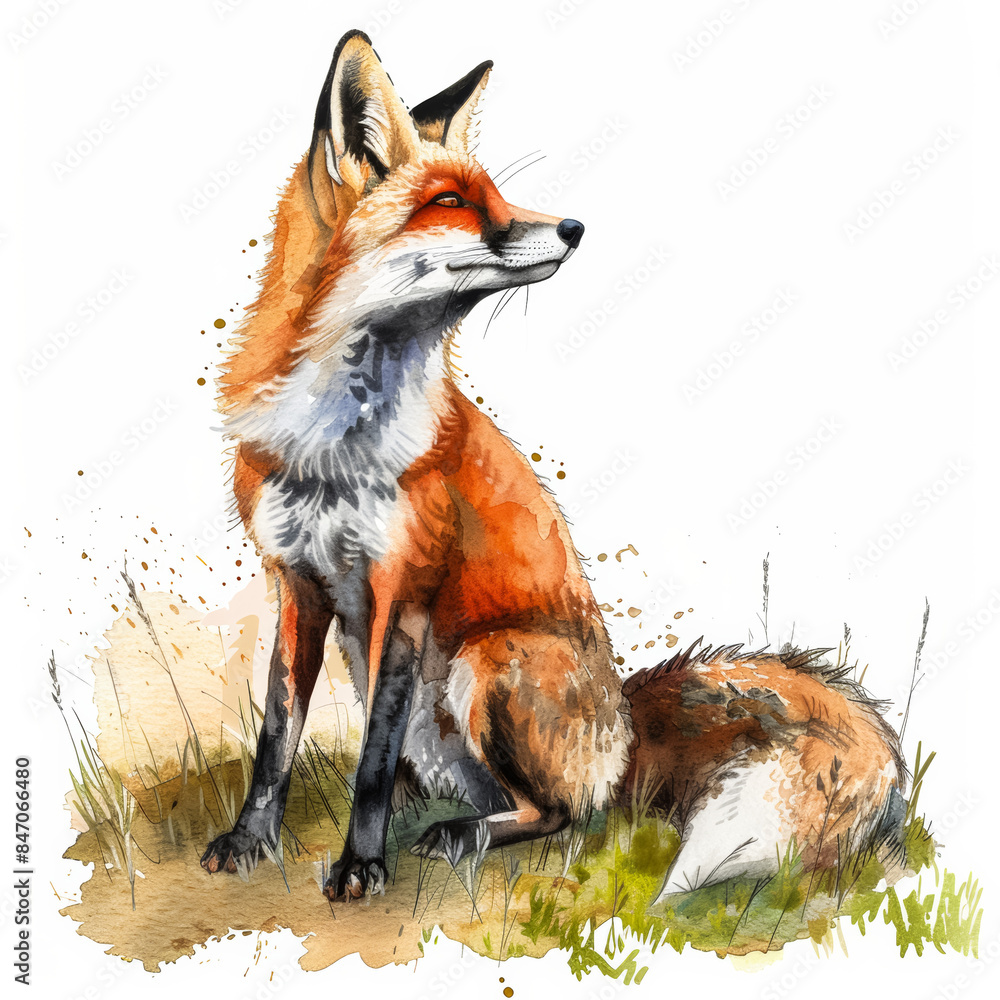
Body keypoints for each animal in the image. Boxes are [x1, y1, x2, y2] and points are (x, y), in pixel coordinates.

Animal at [201, 30, 906, 904]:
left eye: (497, 193)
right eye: (451, 202)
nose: (573, 226)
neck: (337, 442)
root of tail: (624, 726)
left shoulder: (407, 584)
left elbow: (367, 764)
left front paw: (362, 864)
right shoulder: (295, 580)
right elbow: (276, 737)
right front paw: (249, 839)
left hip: (488, 660)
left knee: (564, 813)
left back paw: (462, 833)